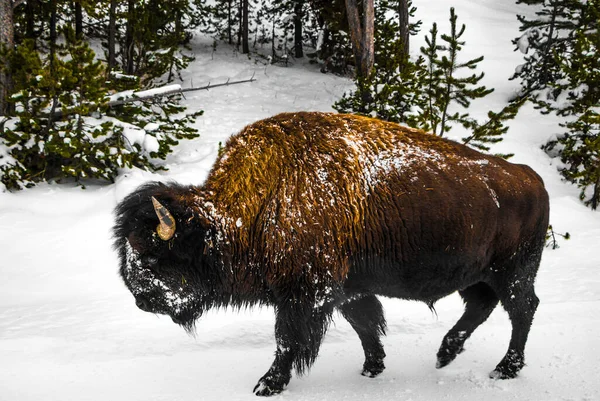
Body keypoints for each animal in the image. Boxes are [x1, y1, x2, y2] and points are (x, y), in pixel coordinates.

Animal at [112, 111, 548, 396]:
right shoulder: (347, 289)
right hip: (478, 274)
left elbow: (288, 340)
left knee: (522, 309)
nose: (141, 299)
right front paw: (372, 368)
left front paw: (267, 384)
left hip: (513, 272)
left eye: (152, 256)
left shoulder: (304, 294)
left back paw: (504, 370)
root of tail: (532, 178)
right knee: (481, 306)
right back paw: (445, 354)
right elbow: (365, 325)